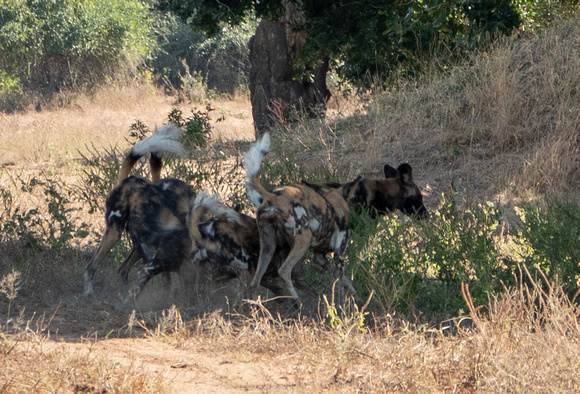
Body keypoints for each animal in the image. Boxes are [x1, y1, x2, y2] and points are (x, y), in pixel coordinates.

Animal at [84, 124, 196, 298]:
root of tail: (126, 181)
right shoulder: (154, 264)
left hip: (137, 244)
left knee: (122, 270)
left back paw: (121, 292)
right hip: (115, 232)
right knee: (91, 266)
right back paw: (90, 292)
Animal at [242, 133, 360, 304]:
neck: (336, 202)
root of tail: (272, 196)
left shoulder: (319, 257)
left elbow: (345, 281)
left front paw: (358, 299)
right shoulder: (338, 254)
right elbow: (339, 284)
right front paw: (341, 306)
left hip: (269, 246)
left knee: (255, 283)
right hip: (302, 241)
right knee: (284, 271)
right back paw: (298, 302)